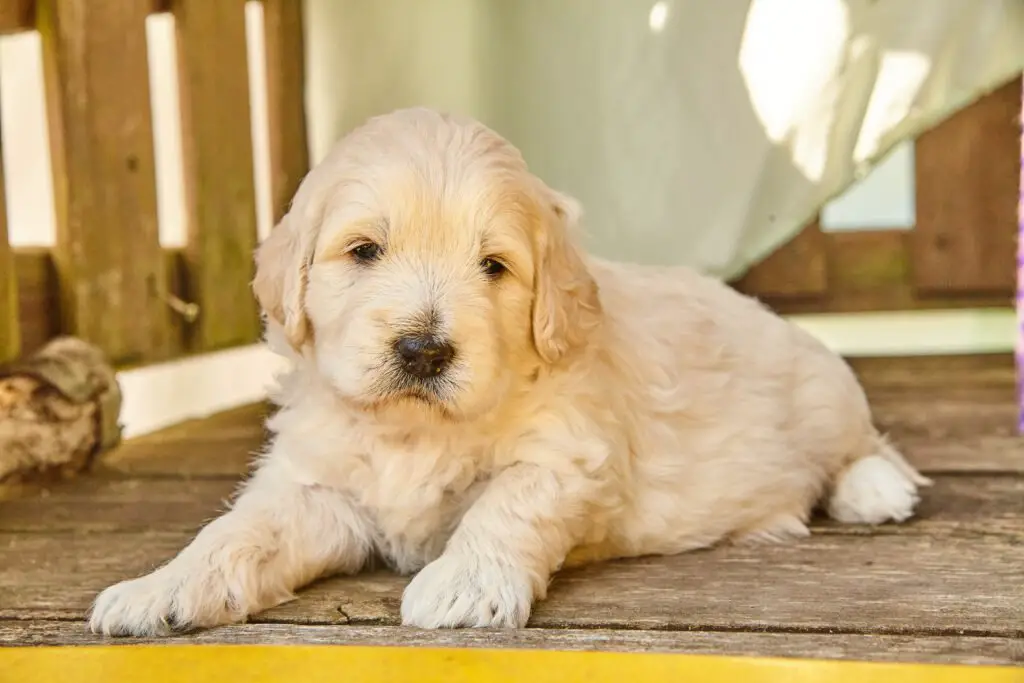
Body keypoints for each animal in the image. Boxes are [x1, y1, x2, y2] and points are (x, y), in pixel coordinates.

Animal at [92, 107, 933, 634]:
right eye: (364, 250)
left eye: (493, 266)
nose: (424, 349)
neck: (415, 431)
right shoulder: (318, 489)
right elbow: (236, 533)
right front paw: (158, 588)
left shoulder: (569, 454)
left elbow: (507, 503)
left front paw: (465, 585)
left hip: (824, 388)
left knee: (864, 443)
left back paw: (875, 489)